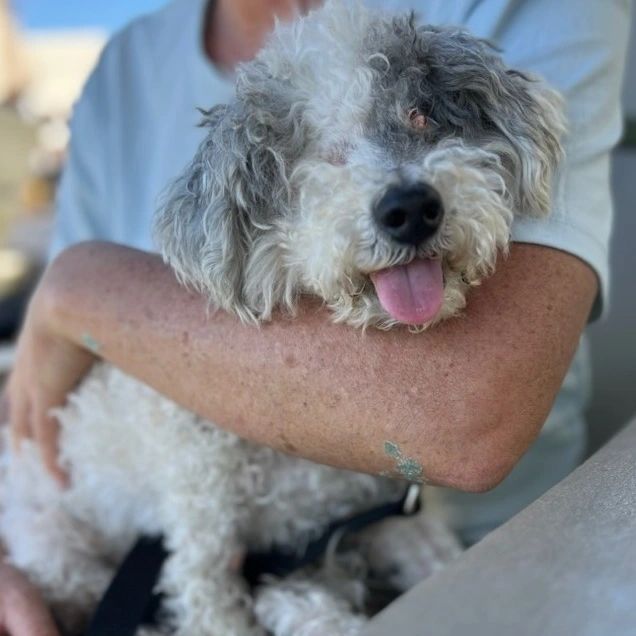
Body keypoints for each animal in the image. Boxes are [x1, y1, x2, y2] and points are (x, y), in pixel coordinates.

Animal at [0, 2, 568, 632]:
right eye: (310, 153)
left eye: (419, 115)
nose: (411, 208)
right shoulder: (200, 532)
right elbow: (216, 610)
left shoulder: (384, 517)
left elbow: (429, 557)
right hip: (56, 547)